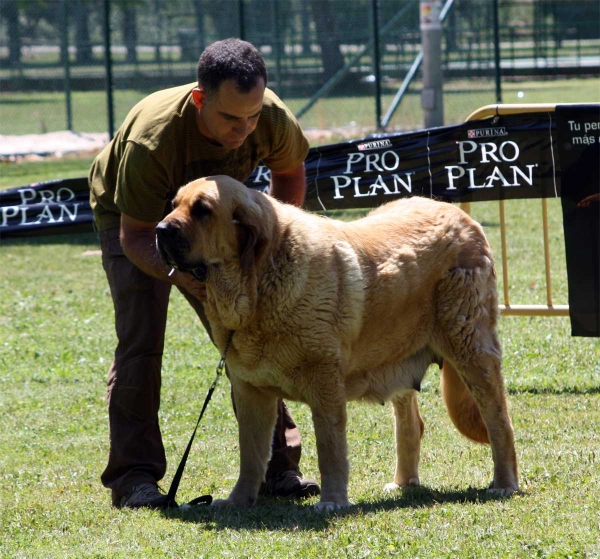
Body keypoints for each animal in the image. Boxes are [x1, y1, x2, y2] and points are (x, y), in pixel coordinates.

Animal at [157, 176, 516, 512]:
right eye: (173, 204)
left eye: (202, 209)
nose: (160, 230)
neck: (257, 285)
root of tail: (462, 216)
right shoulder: (250, 391)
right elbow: (252, 454)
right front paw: (238, 500)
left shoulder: (325, 383)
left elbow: (329, 447)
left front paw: (332, 501)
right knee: (411, 423)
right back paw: (403, 483)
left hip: (471, 351)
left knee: (499, 420)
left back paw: (504, 483)